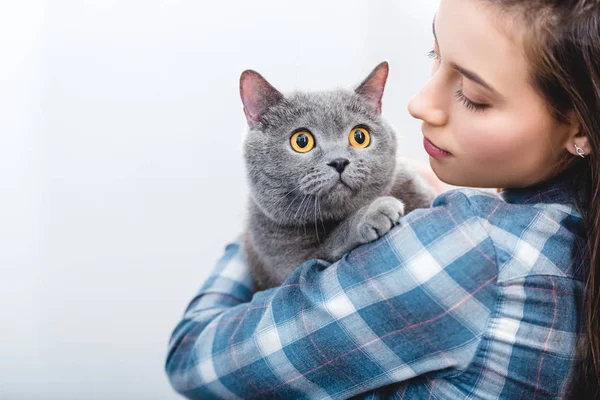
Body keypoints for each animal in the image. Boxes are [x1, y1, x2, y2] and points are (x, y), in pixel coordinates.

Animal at [239, 61, 436, 290]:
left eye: (360, 136)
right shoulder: (290, 268)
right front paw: (374, 211)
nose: (339, 161)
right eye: (301, 141)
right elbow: (327, 248)